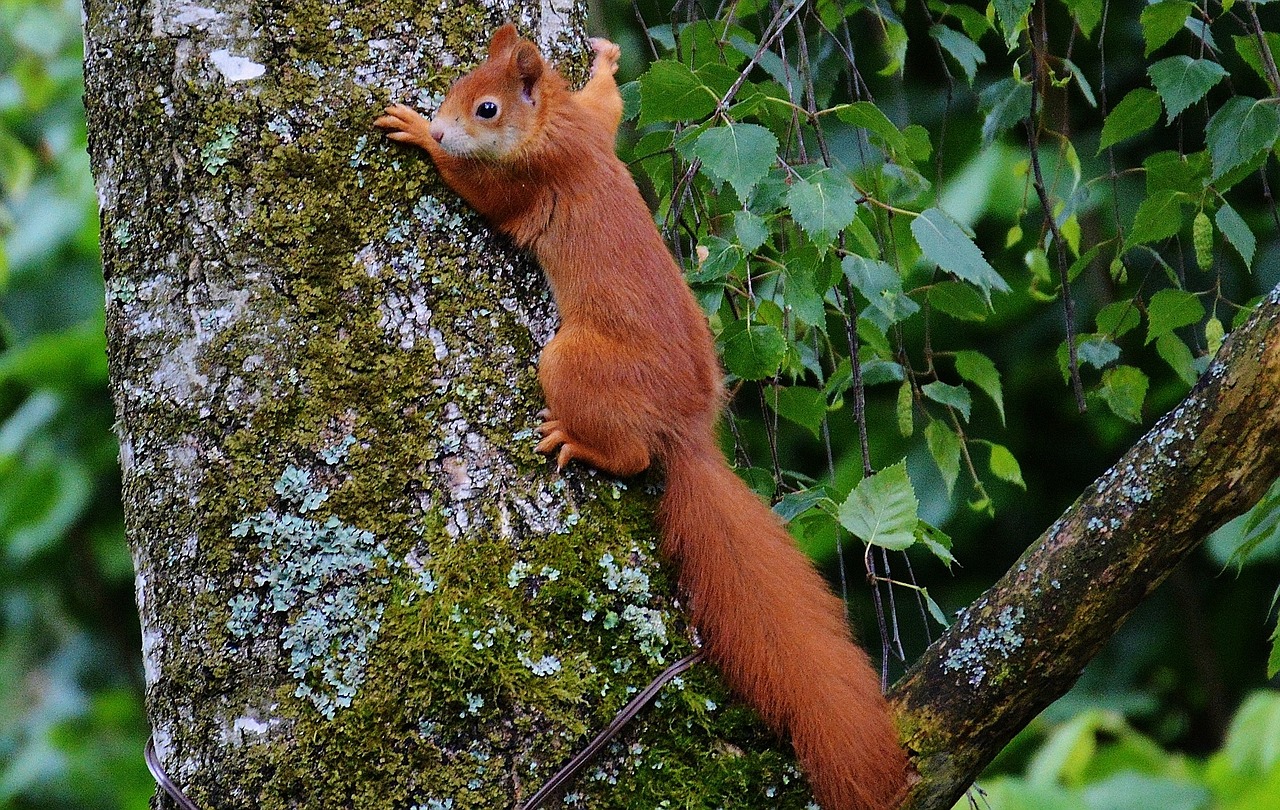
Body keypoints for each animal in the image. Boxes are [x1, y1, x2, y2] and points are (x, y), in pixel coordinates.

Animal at [373, 23, 911, 808]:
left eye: (486, 109)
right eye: (460, 86)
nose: (442, 124)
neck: (553, 124)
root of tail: (685, 430)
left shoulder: (526, 180)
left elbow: (476, 189)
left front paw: (416, 133)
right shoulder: (593, 125)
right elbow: (610, 102)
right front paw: (604, 60)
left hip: (570, 364)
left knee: (630, 457)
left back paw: (579, 444)